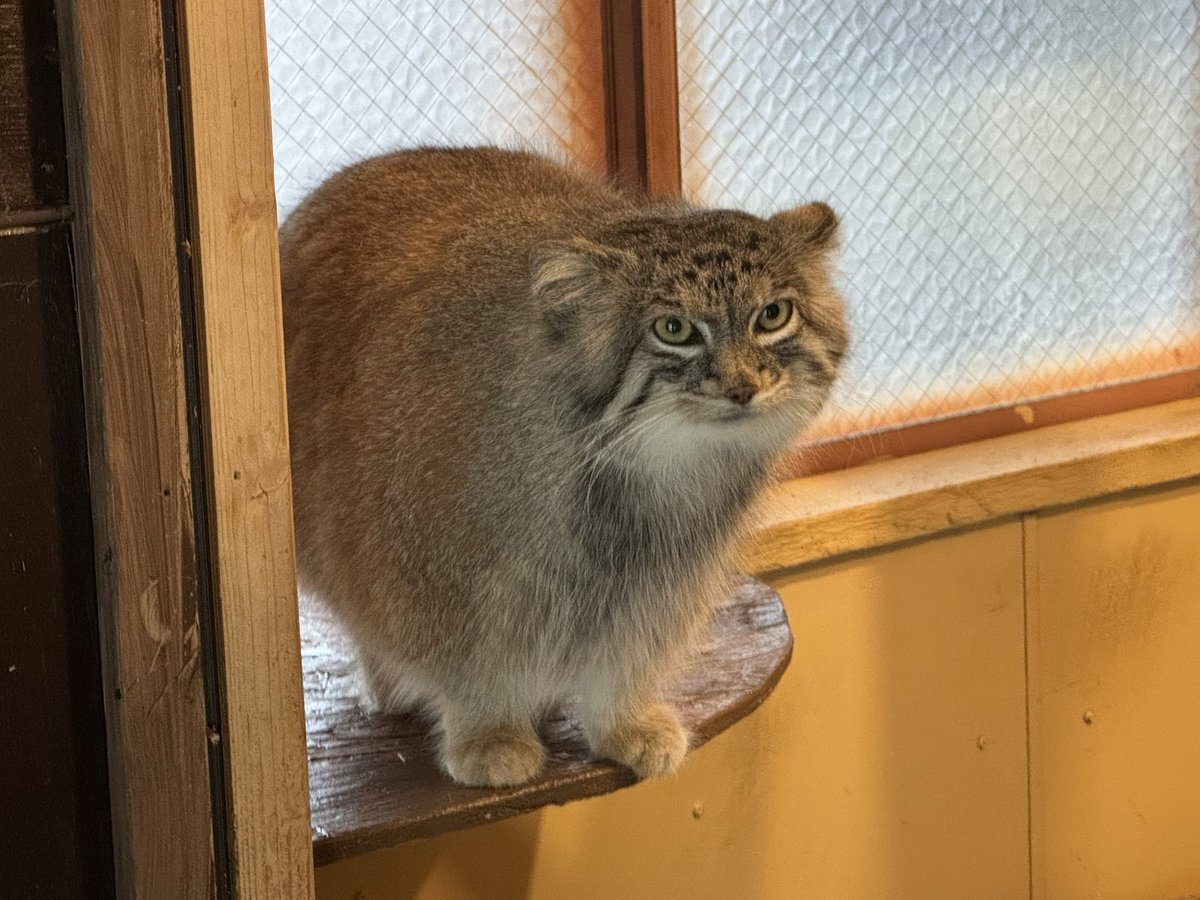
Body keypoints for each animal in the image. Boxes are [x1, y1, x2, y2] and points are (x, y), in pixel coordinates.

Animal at [279, 147, 846, 787]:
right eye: (674, 329)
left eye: (772, 315)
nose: (743, 387)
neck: (634, 481)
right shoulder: (428, 574)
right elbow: (468, 664)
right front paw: (489, 732)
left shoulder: (665, 574)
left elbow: (628, 652)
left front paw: (623, 720)